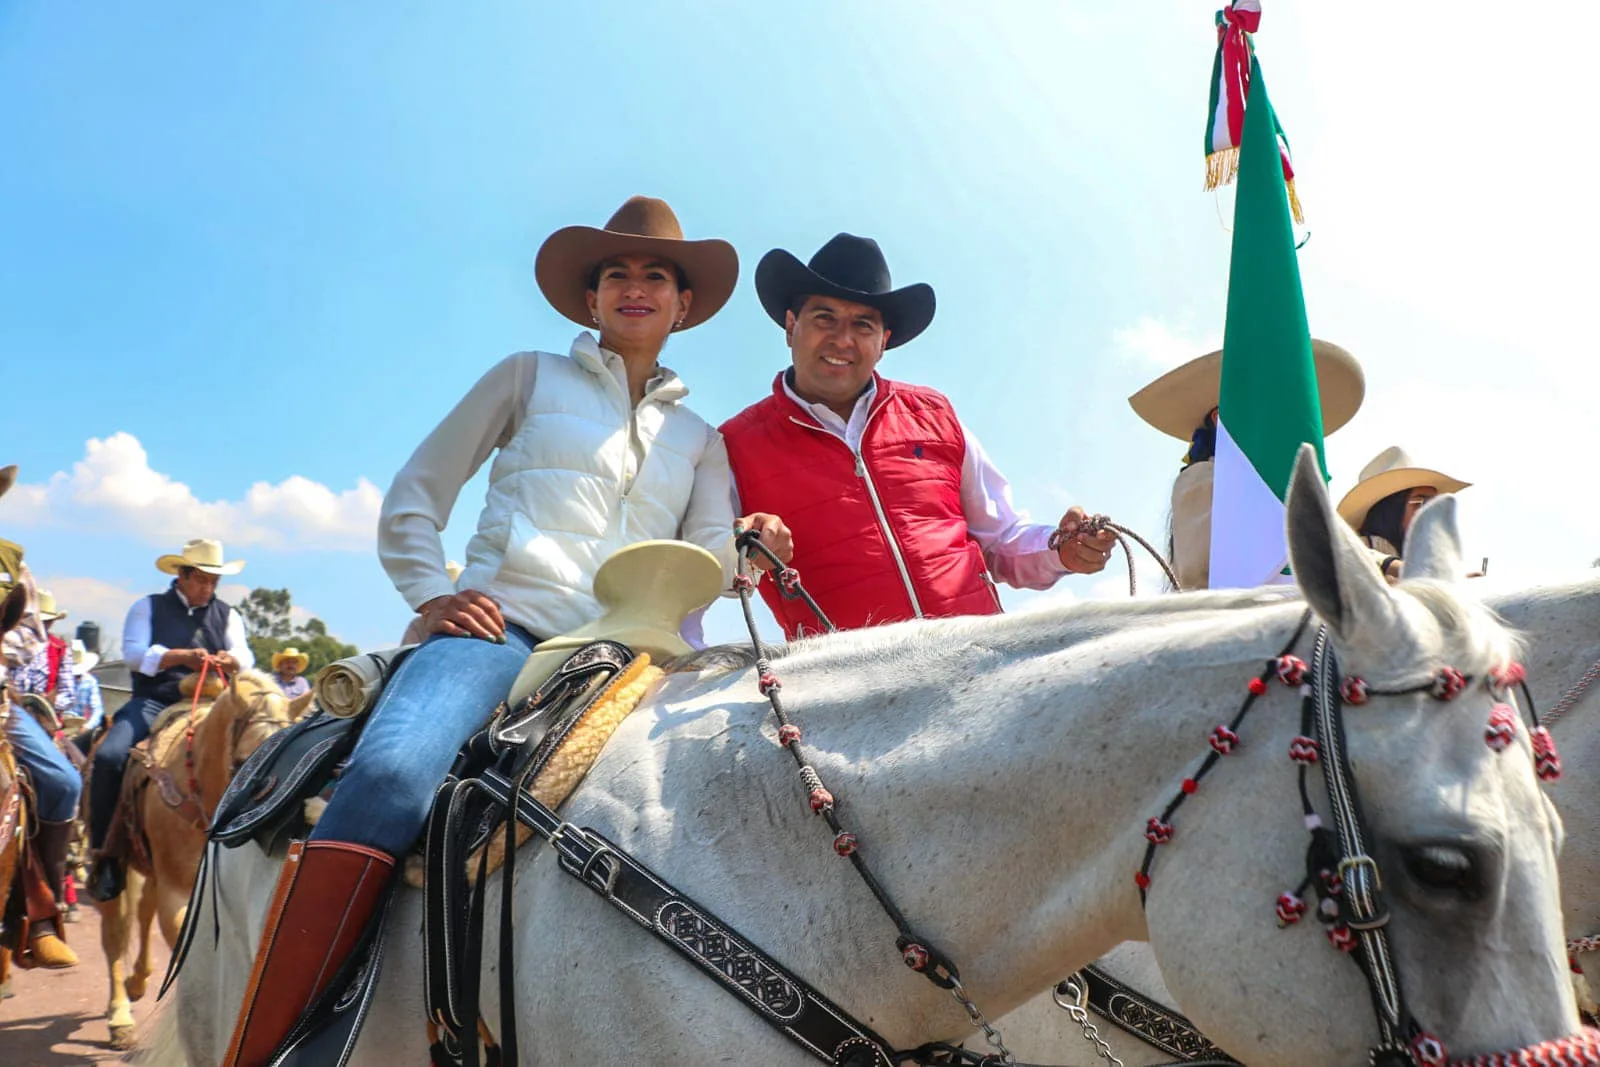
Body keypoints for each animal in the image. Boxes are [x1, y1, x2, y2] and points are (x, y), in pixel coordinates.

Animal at [96, 671, 305, 1049]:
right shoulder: (176, 897)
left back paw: (138, 982)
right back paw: (120, 1016)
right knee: (116, 932)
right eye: (247, 763)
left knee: (143, 914)